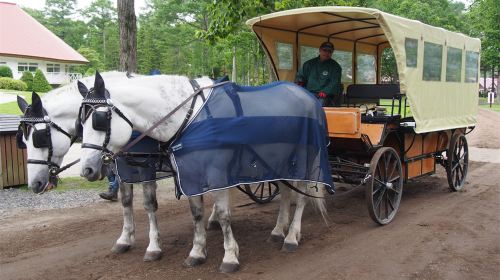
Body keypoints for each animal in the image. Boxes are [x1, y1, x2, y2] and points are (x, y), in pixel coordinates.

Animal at [16, 73, 162, 262]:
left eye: (39, 138)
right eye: (22, 141)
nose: (34, 184)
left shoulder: (145, 167)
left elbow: (149, 204)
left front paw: (154, 247)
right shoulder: (121, 167)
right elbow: (126, 201)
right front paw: (124, 239)